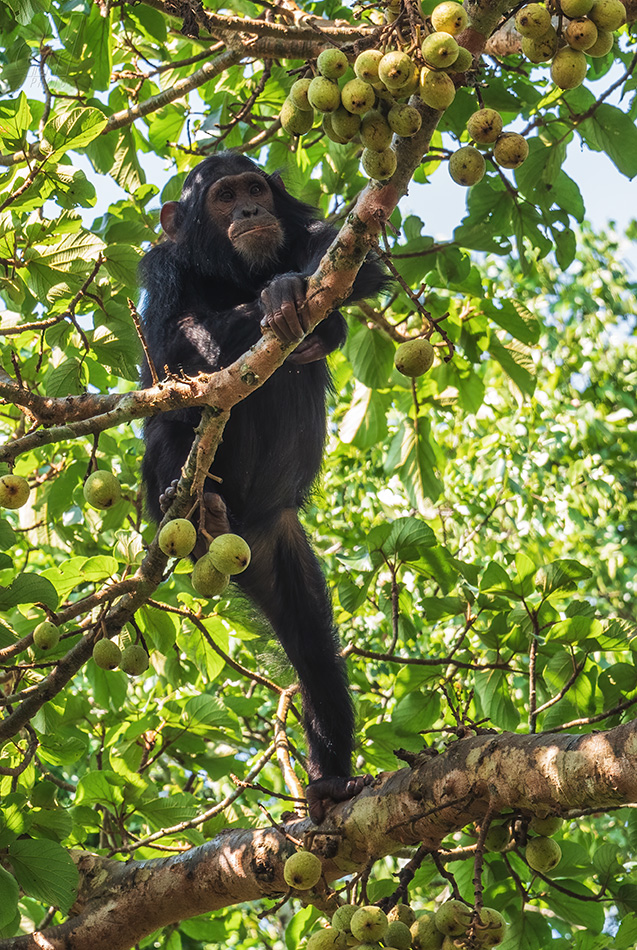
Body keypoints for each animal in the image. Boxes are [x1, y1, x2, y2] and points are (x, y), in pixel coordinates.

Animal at [140, 152, 386, 820]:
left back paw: (330, 778)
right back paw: (199, 513)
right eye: (223, 196)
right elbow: (170, 347)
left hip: (275, 545)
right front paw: (275, 301)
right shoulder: (160, 270)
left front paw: (297, 293)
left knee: (311, 646)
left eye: (255, 188)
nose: (250, 209)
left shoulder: (304, 230)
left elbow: (351, 256)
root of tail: (243, 529)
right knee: (171, 425)